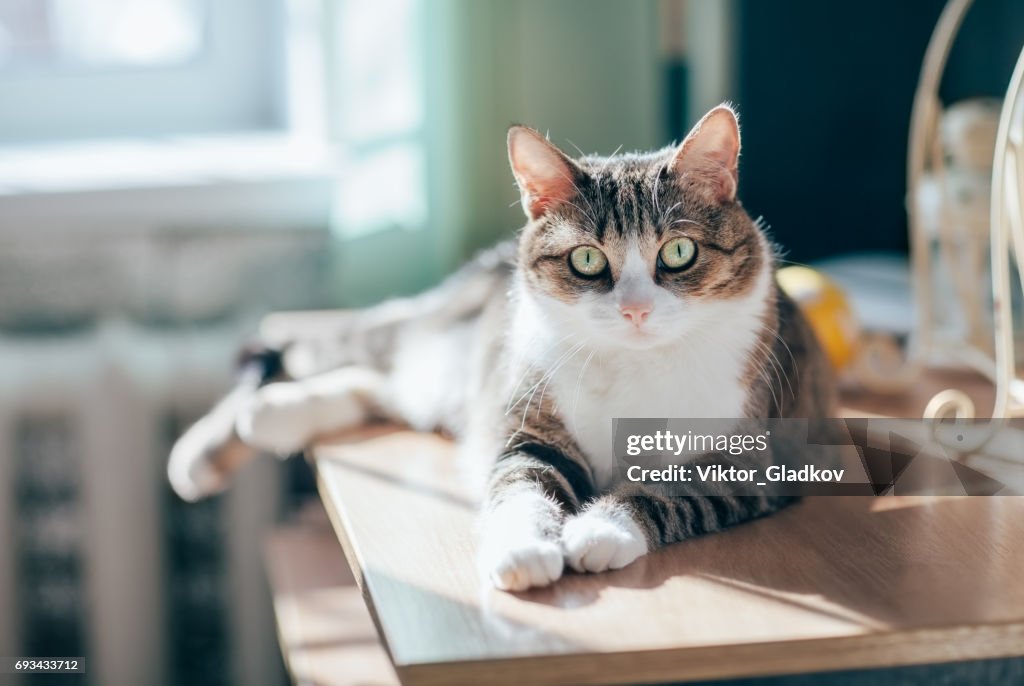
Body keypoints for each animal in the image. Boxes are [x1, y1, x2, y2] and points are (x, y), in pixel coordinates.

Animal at [167, 104, 835, 593]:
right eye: (587, 260)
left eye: (678, 251)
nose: (635, 310)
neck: (636, 364)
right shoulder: (532, 423)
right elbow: (521, 485)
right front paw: (525, 551)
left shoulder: (756, 459)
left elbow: (673, 492)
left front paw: (600, 531)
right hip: (442, 345)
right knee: (332, 354)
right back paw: (208, 449)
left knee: (379, 387)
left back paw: (273, 417)